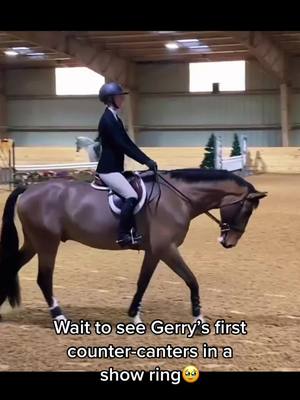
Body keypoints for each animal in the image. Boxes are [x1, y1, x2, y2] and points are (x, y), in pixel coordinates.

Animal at [0, 169, 268, 324]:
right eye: (246, 210)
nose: (228, 242)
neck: (177, 198)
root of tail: (28, 188)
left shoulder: (154, 251)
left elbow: (143, 281)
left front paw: (134, 315)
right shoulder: (167, 249)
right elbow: (191, 279)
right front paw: (198, 317)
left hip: (34, 242)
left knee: (12, 266)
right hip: (47, 243)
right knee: (44, 278)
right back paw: (60, 316)